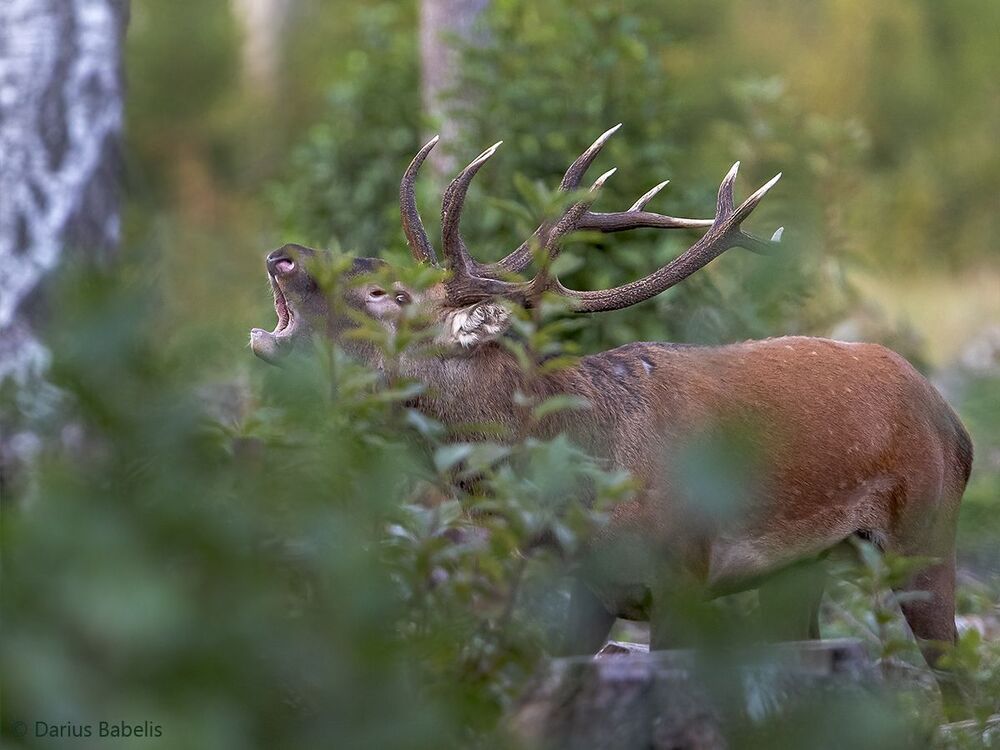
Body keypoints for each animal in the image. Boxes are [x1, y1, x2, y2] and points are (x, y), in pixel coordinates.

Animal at [250, 125, 973, 676]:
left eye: (391, 296)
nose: (281, 254)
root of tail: (956, 424)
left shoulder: (685, 576)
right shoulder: (577, 595)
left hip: (925, 534)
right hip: (806, 569)